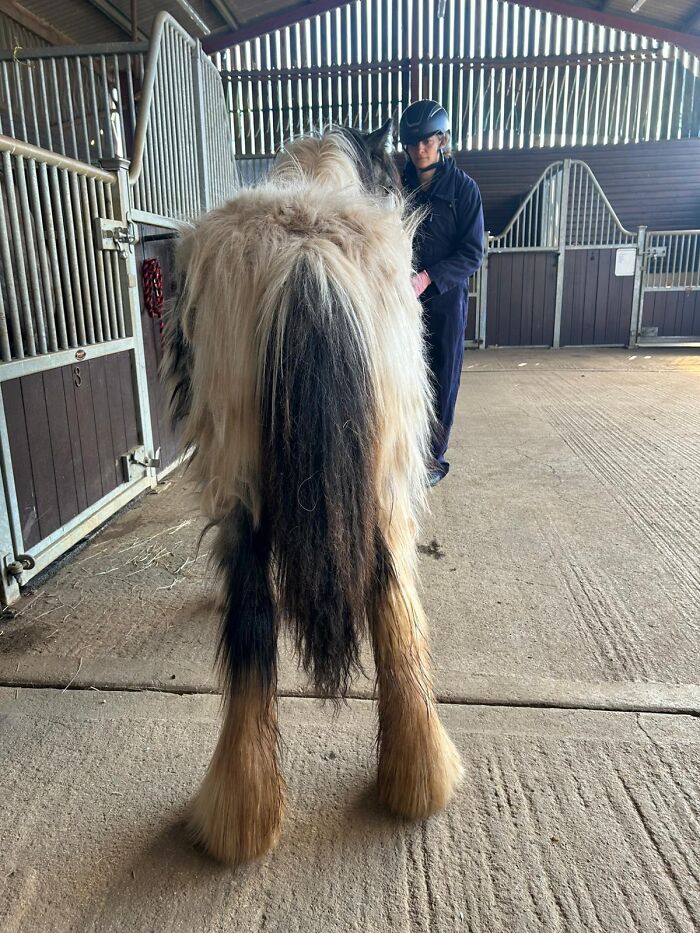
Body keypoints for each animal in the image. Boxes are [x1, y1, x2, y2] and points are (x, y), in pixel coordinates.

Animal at [163, 122, 462, 865]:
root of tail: (307, 251)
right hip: (383, 480)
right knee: (391, 599)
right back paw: (414, 778)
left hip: (248, 482)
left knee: (253, 618)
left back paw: (242, 812)